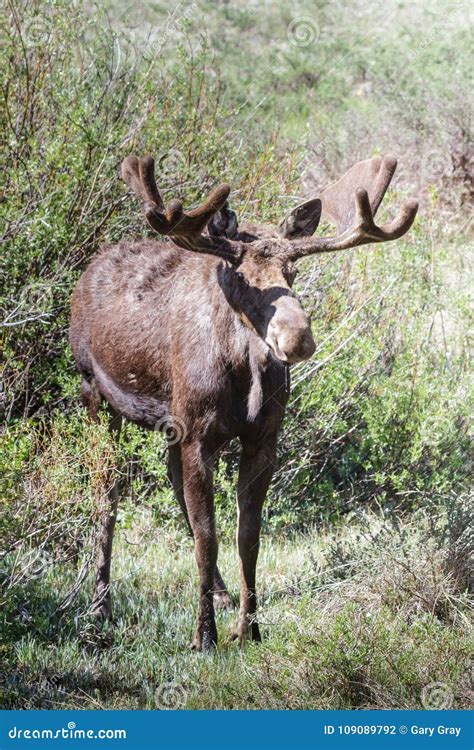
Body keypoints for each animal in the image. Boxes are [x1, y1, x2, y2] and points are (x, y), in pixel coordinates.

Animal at [70, 154, 418, 652]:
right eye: (241, 275)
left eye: (292, 273)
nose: (298, 338)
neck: (243, 373)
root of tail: (88, 269)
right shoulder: (197, 434)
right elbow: (208, 536)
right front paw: (203, 637)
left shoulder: (261, 438)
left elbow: (246, 536)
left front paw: (248, 627)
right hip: (95, 392)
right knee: (107, 493)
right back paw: (100, 606)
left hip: (169, 423)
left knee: (171, 482)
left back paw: (220, 594)